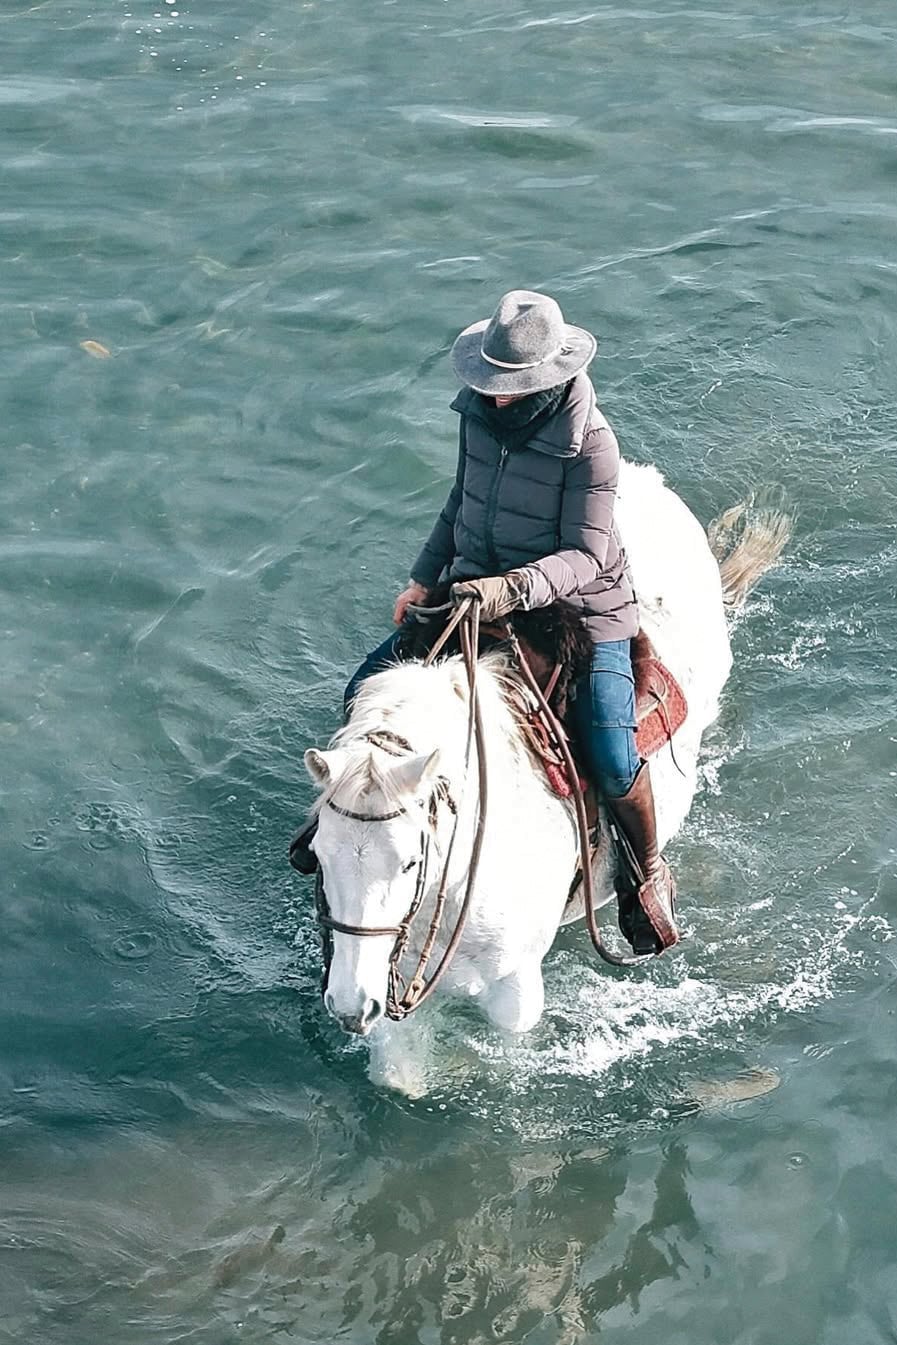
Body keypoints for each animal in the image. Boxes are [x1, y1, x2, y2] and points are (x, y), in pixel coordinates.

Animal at [301, 461, 790, 1093]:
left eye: (410, 862)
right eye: (320, 854)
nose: (347, 1007)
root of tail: (644, 481)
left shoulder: (514, 990)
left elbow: (506, 1057)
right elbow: (398, 1074)